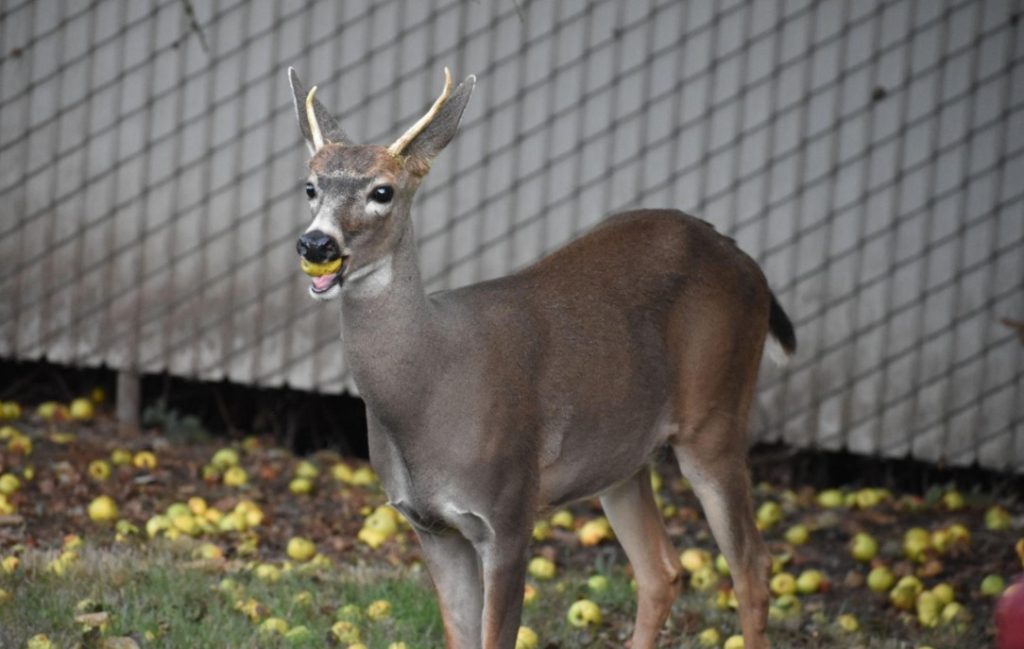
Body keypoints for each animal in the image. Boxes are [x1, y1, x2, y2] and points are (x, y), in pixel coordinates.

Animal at [288, 66, 796, 649]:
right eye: (311, 186)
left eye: (382, 191)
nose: (317, 245)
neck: (430, 386)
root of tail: (748, 263)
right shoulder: (430, 525)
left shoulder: (508, 513)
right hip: (622, 456)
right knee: (662, 571)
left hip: (716, 418)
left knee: (753, 567)